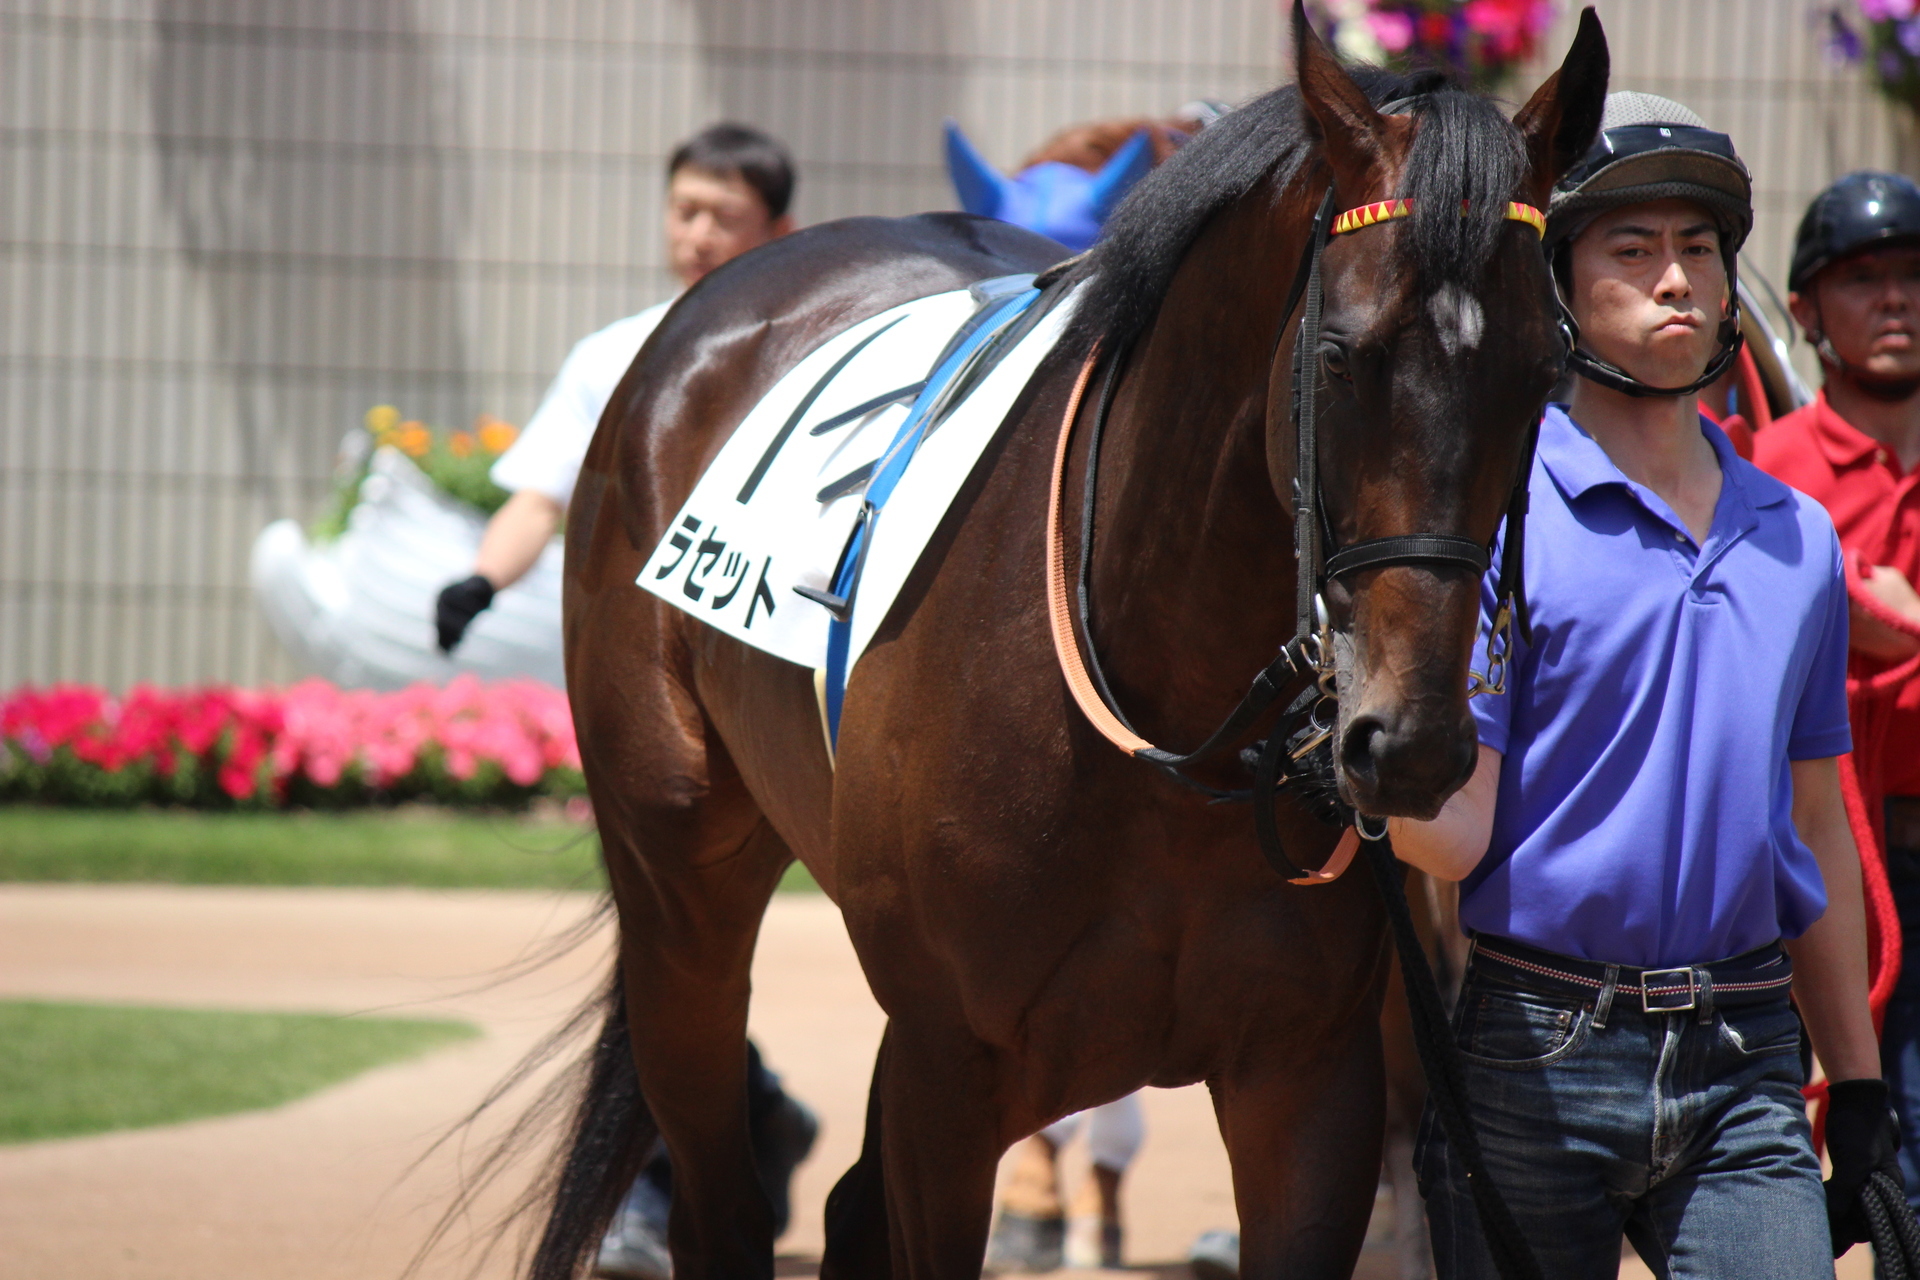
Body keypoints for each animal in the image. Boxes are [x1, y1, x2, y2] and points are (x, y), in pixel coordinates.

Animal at [537, 10, 1605, 1280]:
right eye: (1343, 355)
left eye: (1544, 373)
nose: (1415, 744)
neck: (1161, 725)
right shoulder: (949, 1074)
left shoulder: (1309, 1080)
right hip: (678, 893)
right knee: (726, 1197)